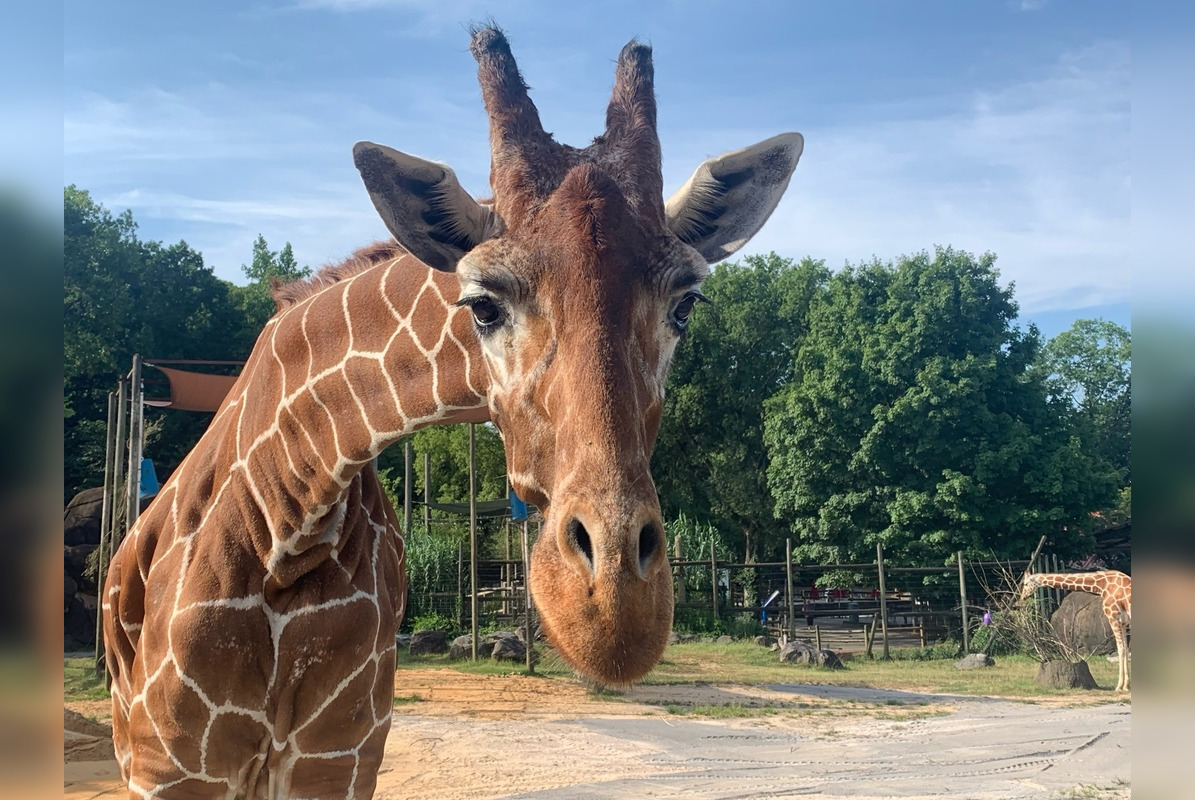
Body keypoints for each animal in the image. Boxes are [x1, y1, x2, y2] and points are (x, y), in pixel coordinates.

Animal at [103, 26, 804, 798]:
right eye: (483, 304)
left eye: (686, 304)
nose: (613, 609)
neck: (289, 519)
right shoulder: (171, 763)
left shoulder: (342, 755)